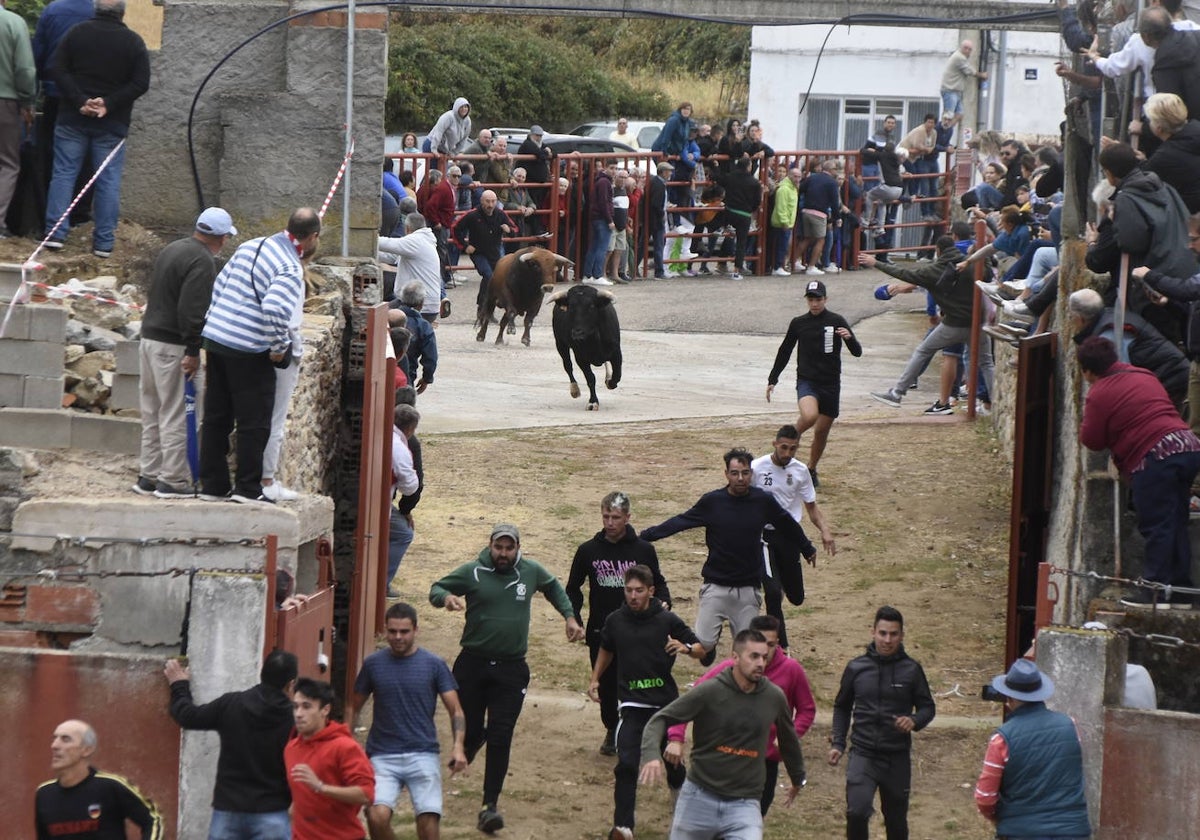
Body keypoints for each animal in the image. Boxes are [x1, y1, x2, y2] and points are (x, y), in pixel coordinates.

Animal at [549, 284, 624, 412]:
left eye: (592, 306)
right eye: (570, 306)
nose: (577, 333)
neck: (593, 338)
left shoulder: (616, 353)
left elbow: (617, 375)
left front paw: (610, 382)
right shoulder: (580, 358)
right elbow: (590, 378)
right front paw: (593, 402)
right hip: (560, 345)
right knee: (568, 366)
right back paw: (574, 390)